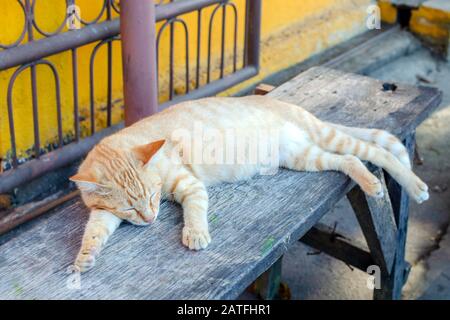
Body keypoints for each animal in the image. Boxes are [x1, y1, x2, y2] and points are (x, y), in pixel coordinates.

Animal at [70, 95, 428, 272]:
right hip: (304, 156)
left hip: (326, 137)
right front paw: (84, 257)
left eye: (154, 196)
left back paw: (410, 186)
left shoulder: (190, 184)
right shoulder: (103, 213)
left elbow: (195, 210)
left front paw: (196, 233)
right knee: (350, 160)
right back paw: (370, 182)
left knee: (374, 152)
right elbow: (94, 232)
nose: (150, 218)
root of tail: (296, 110)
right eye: (131, 208)